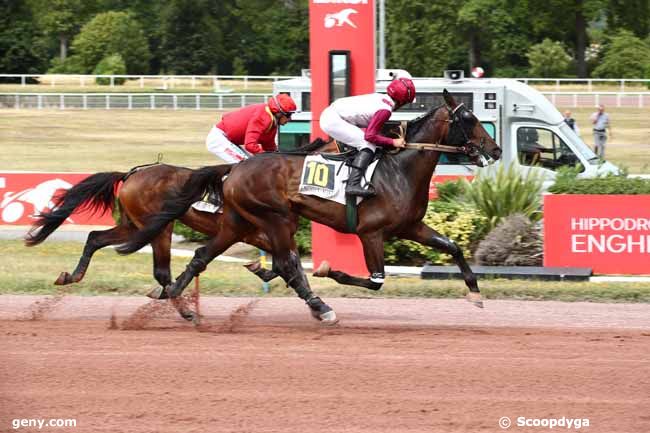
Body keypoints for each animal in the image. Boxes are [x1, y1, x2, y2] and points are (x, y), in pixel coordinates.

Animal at [117, 89, 502, 322]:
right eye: (468, 119)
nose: (496, 150)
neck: (400, 170)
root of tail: (235, 169)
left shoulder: (410, 227)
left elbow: (452, 247)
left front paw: (475, 293)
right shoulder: (371, 232)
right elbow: (375, 280)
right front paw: (328, 270)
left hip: (239, 223)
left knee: (203, 257)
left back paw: (176, 298)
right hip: (275, 218)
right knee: (285, 263)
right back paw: (320, 306)